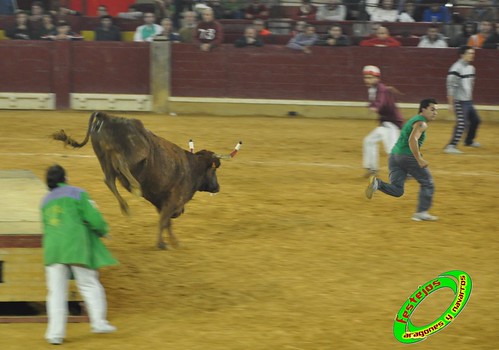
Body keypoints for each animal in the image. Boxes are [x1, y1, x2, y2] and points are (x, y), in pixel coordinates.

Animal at [52, 112, 242, 249]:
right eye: (214, 169)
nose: (217, 187)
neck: (192, 167)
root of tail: (107, 116)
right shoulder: (173, 201)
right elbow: (164, 221)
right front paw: (161, 244)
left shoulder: (163, 203)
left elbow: (166, 222)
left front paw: (173, 242)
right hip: (136, 154)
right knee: (121, 164)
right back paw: (135, 187)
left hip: (102, 156)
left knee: (109, 180)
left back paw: (125, 206)